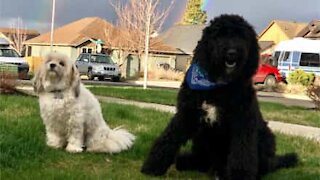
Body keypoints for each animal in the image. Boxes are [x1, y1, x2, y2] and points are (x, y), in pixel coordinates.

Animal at [141, 14, 296, 179]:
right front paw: (153, 165)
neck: (217, 86)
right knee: (201, 161)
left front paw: (240, 175)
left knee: (262, 165)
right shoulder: (187, 114)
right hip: (201, 138)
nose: (232, 52)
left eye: (242, 36)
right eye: (219, 35)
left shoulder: (242, 121)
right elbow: (169, 137)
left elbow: (242, 152)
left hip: (265, 137)